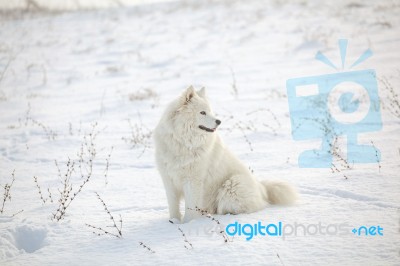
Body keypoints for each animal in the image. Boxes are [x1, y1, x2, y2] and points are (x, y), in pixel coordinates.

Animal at [153, 85, 296, 222]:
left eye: (210, 111)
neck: (183, 143)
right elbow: (173, 205)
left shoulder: (193, 181)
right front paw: (173, 221)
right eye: (202, 112)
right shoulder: (168, 180)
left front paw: (188, 223)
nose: (219, 121)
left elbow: (191, 207)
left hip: (231, 186)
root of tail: (262, 189)